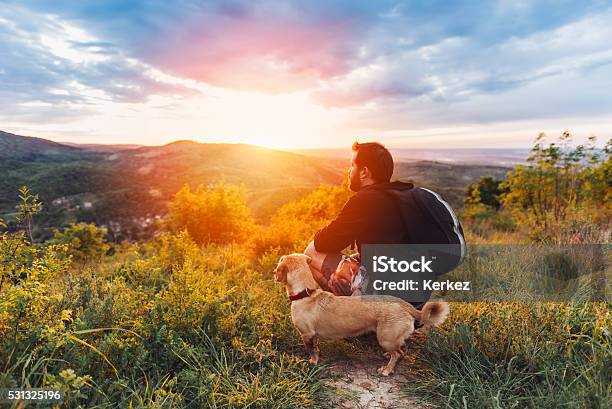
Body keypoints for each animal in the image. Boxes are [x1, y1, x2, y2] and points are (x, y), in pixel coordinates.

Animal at [274, 252, 450, 372]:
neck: (306, 293)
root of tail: (404, 304)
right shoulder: (313, 335)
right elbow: (316, 348)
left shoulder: (307, 334)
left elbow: (311, 351)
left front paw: (312, 363)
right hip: (390, 339)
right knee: (399, 350)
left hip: (385, 339)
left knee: (398, 354)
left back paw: (387, 370)